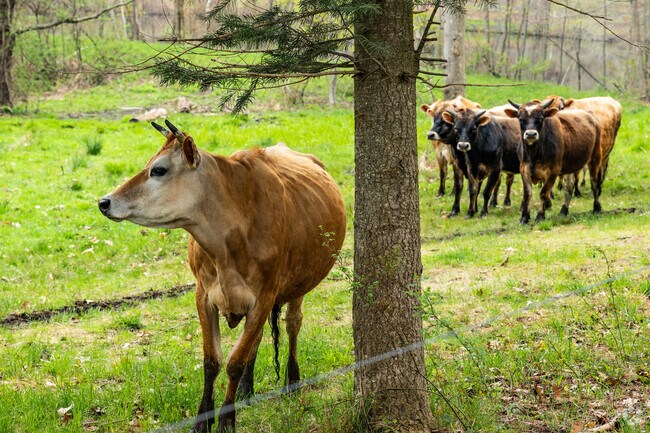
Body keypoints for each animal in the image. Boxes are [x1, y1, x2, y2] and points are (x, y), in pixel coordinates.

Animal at [98, 121, 347, 433]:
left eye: (159, 170)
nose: (104, 202)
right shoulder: (204, 295)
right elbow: (212, 361)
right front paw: (203, 419)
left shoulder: (264, 296)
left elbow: (234, 362)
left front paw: (227, 420)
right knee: (259, 335)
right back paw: (246, 390)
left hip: (299, 285)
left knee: (292, 324)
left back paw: (292, 380)